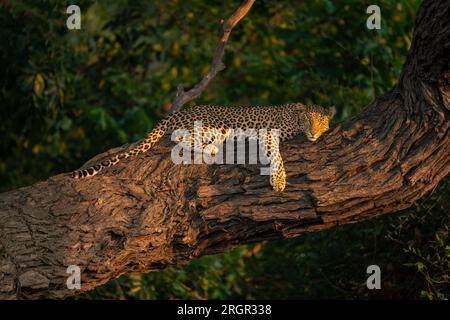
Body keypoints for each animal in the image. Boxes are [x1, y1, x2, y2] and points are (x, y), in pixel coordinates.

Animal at [72, 103, 336, 192]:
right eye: (309, 121)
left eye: (321, 122)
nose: (314, 133)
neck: (295, 119)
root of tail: (175, 113)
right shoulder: (269, 134)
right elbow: (277, 156)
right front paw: (279, 181)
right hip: (216, 126)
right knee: (179, 139)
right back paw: (211, 150)